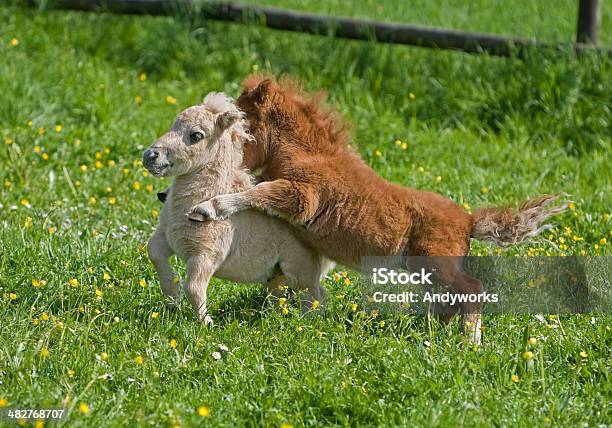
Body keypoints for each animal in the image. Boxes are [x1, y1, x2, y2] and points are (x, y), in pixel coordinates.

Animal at [188, 76, 568, 344]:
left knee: (471, 290)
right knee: (449, 301)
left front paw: (206, 209)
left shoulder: (301, 197)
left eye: (242, 127)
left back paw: (469, 343)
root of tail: (468, 220)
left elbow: (255, 192)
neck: (310, 154)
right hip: (423, 269)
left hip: (434, 262)